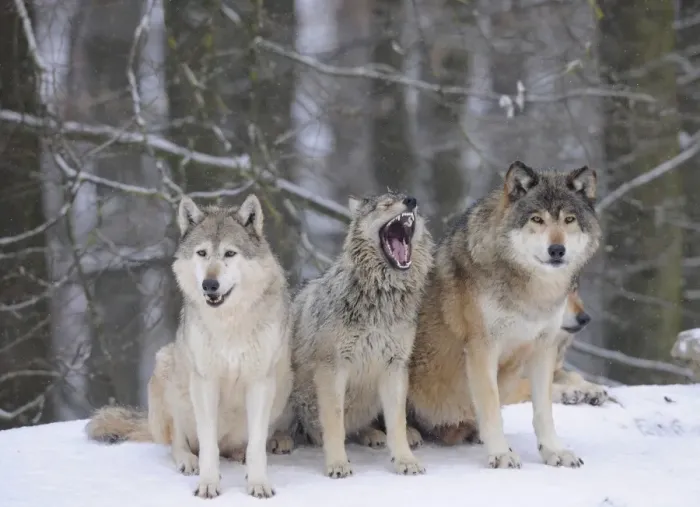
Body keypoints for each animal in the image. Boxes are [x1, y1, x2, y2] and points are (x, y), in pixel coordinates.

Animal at [86, 194, 294, 499]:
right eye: (202, 253)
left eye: (230, 254)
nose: (210, 284)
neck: (229, 323)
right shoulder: (205, 382)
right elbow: (207, 445)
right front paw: (208, 484)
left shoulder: (259, 381)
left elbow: (256, 446)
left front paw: (258, 484)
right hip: (167, 367)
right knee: (178, 442)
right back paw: (188, 461)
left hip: (284, 384)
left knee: (238, 447)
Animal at [287, 192, 433, 479]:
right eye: (385, 204)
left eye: (406, 197)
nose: (412, 200)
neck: (381, 299)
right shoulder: (332, 369)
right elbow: (334, 423)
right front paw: (337, 464)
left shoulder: (394, 367)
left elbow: (397, 422)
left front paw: (406, 461)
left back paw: (377, 435)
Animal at [407, 161, 601, 469]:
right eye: (537, 219)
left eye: (569, 219)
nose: (557, 250)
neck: (532, 293)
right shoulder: (482, 349)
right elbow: (491, 405)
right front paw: (500, 454)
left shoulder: (543, 350)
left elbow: (544, 410)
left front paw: (554, 452)